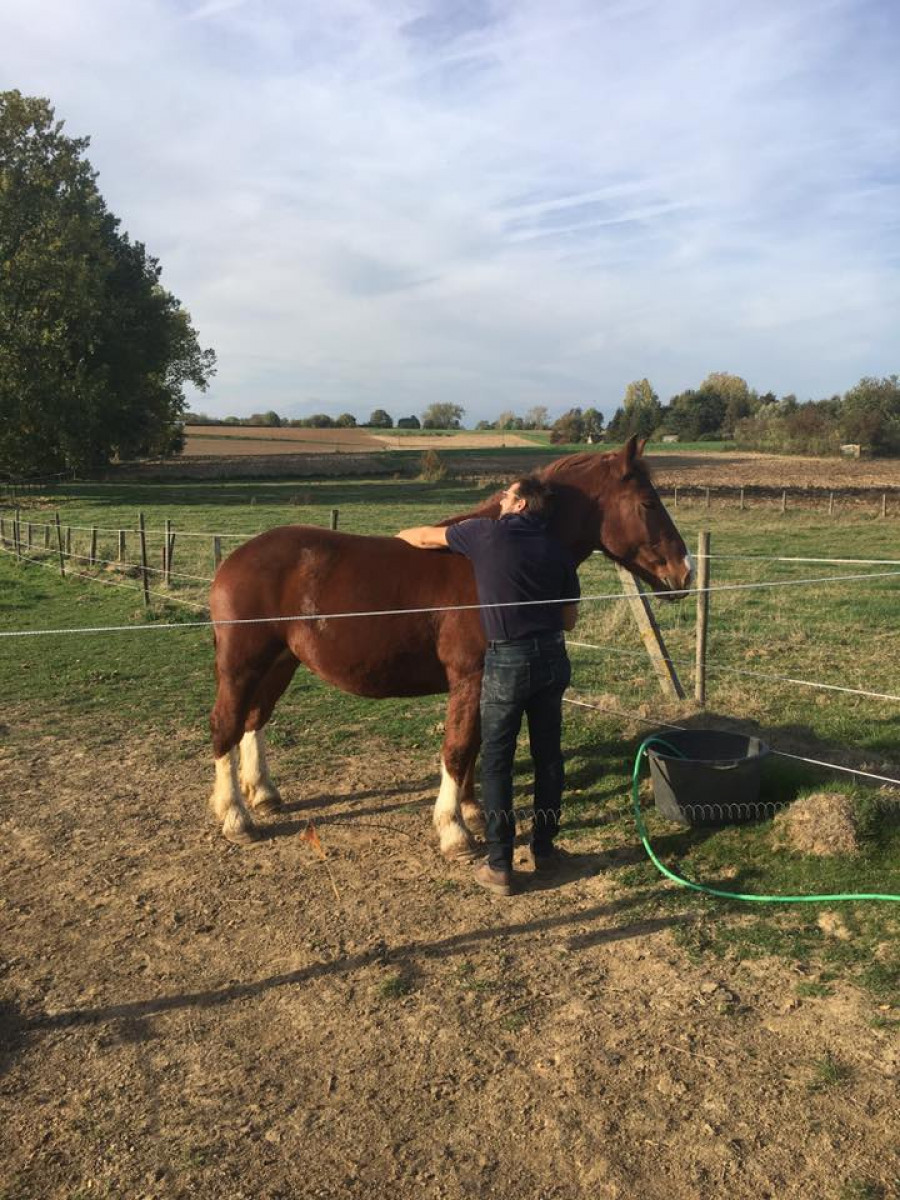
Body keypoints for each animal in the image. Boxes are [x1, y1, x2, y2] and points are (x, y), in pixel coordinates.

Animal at [210, 441, 691, 854]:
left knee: (254, 720)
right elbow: (458, 749)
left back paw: (264, 794)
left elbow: (475, 745)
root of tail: (233, 561)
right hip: (242, 665)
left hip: (280, 663)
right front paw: (454, 830)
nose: (684, 572)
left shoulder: (485, 682)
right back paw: (235, 817)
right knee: (226, 726)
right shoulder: (470, 676)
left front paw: (473, 811)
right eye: (648, 504)